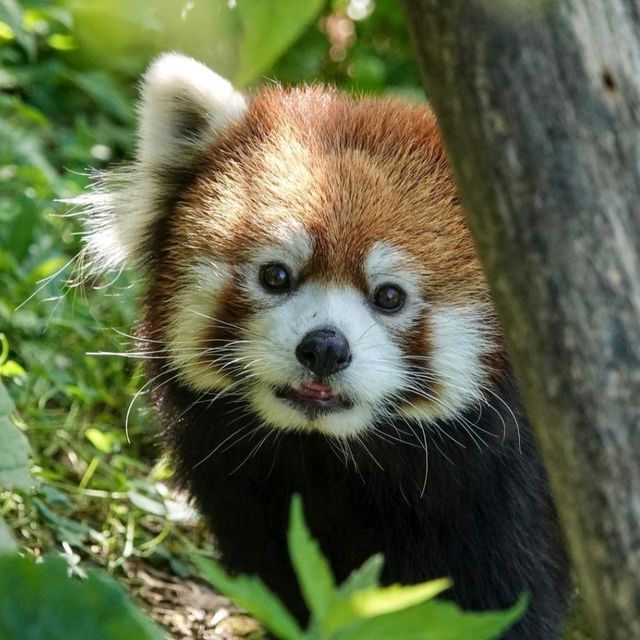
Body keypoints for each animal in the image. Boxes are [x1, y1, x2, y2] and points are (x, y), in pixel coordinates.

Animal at [79, 55, 568, 640]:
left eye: (389, 296)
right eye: (276, 275)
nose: (325, 348)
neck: (332, 461)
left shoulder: (506, 502)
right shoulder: (255, 501)